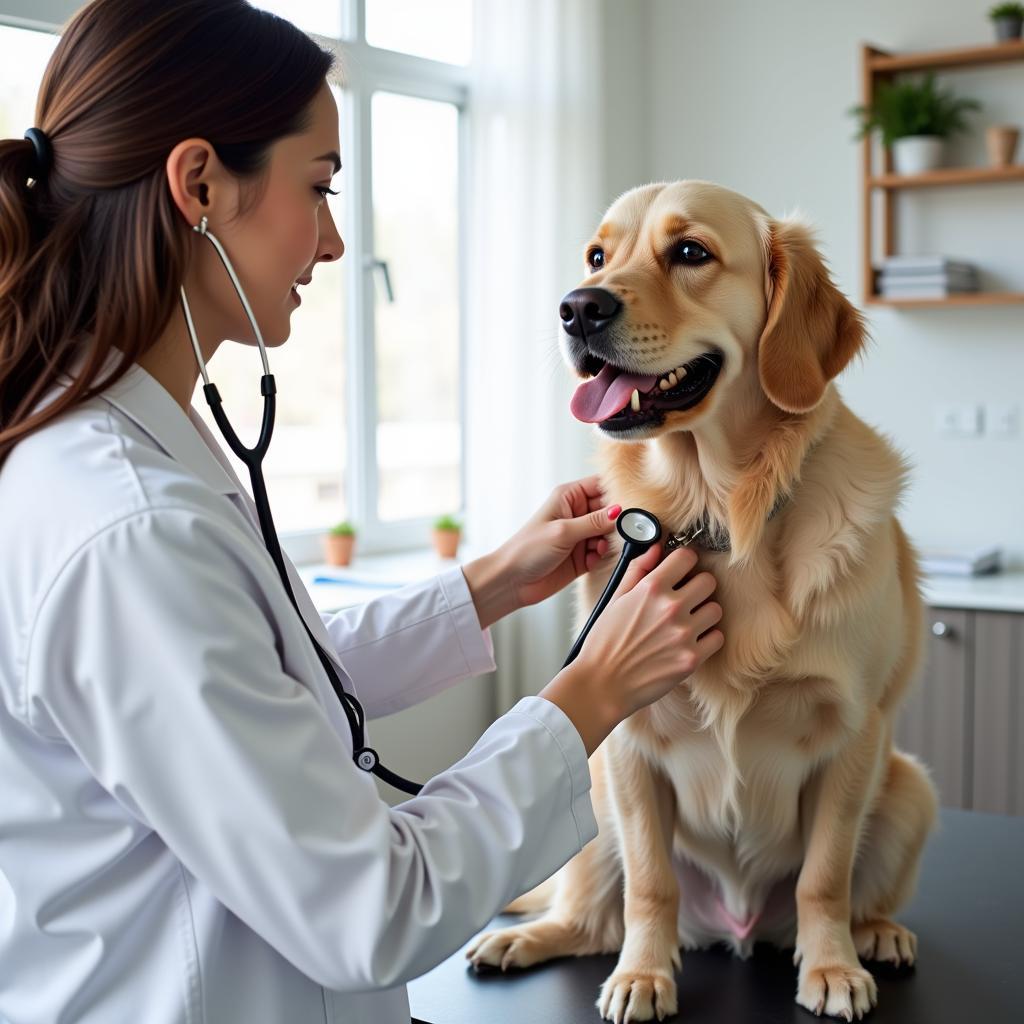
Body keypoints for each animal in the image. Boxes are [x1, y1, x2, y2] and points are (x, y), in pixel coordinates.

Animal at [468, 180, 937, 1019]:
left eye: (690, 252)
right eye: (597, 255)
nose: (576, 308)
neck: (718, 511)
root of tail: (737, 926)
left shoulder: (854, 734)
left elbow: (825, 877)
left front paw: (831, 968)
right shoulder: (626, 740)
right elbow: (651, 886)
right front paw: (643, 976)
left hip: (910, 787)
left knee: (857, 896)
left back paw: (876, 937)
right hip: (589, 797)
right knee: (592, 916)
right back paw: (524, 939)